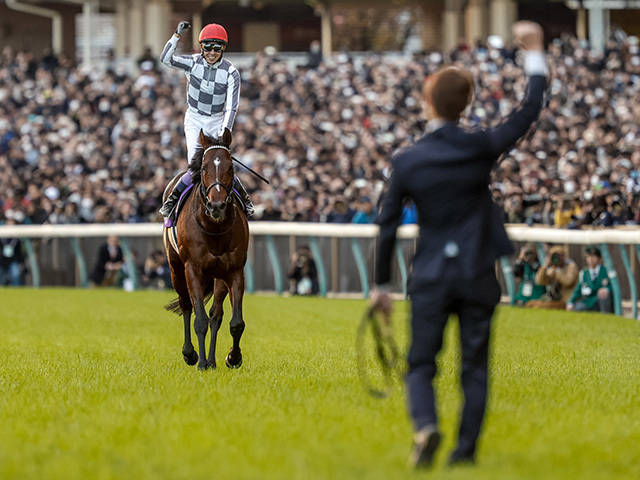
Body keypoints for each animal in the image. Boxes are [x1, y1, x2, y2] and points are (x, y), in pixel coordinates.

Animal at [161, 128, 249, 372]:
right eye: (203, 168)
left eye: (231, 167)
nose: (216, 206)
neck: (213, 228)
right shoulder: (193, 269)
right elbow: (198, 318)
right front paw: (198, 362)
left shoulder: (235, 271)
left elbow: (236, 323)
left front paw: (233, 357)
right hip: (176, 269)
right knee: (186, 305)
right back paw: (191, 353)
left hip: (218, 276)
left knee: (215, 315)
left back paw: (211, 360)